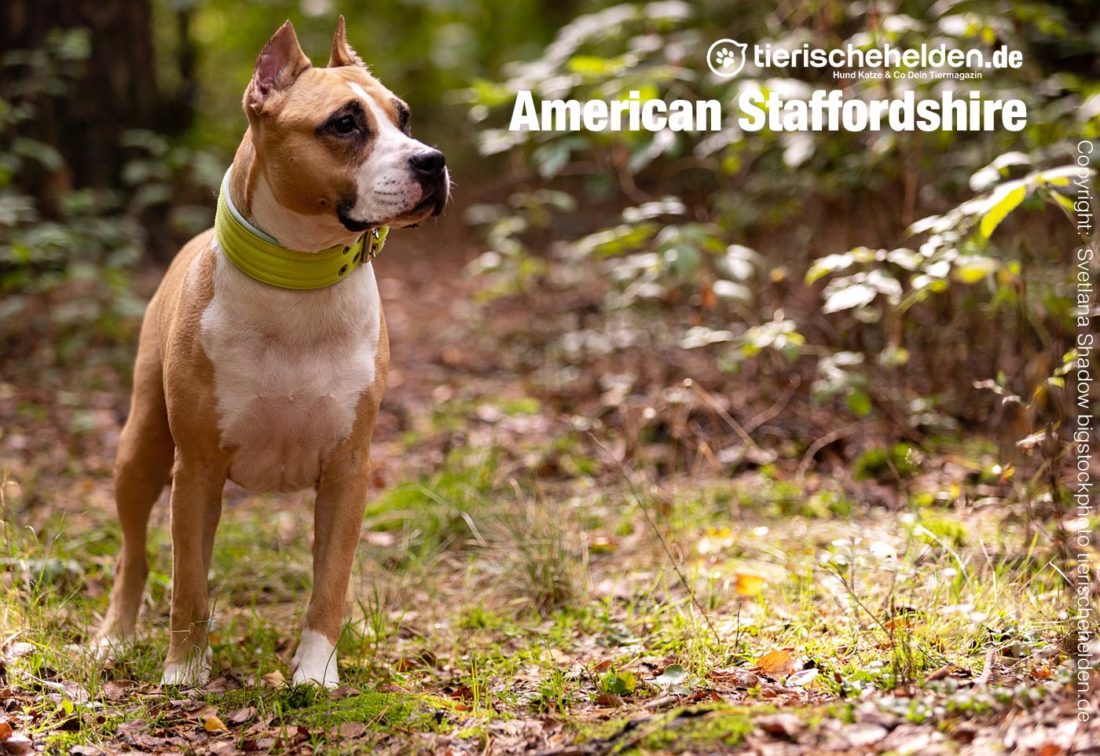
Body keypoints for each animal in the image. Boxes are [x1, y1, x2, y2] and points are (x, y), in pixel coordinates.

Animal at [92, 19, 448, 691]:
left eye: (404, 117)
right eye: (345, 123)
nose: (432, 161)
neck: (299, 281)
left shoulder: (348, 468)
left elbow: (330, 581)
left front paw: (315, 672)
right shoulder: (196, 468)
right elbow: (188, 583)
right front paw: (184, 671)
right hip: (142, 446)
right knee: (133, 553)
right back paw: (115, 636)